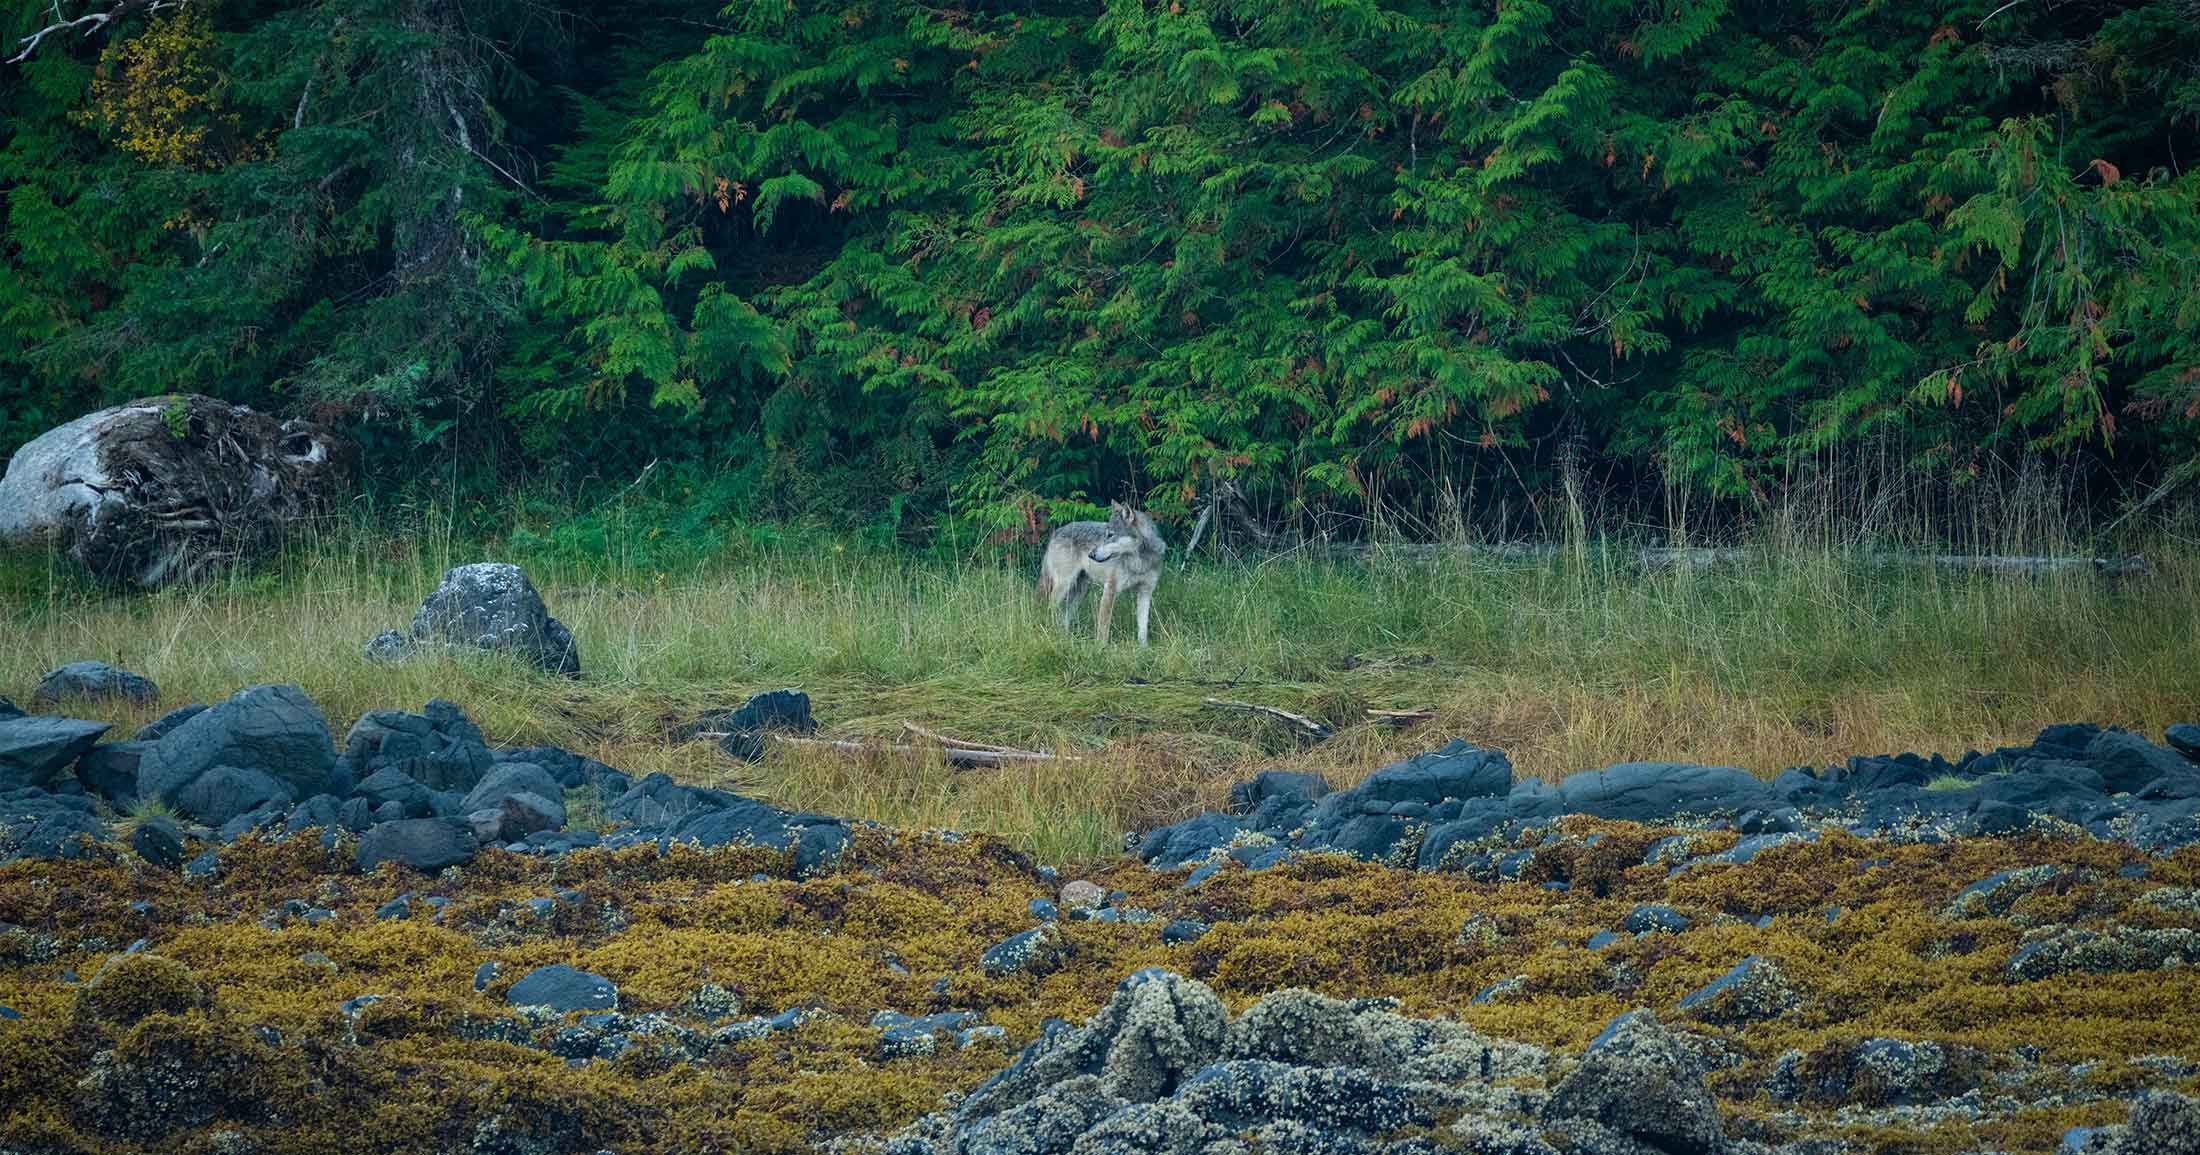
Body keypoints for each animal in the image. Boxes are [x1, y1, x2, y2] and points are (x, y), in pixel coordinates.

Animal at [1035, 501, 1167, 645]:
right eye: (1105, 534)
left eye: (1111, 535)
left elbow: (1143, 628)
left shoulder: (1145, 592)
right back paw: (1052, 631)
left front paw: (1143, 647)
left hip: (1080, 592)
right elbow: (1103, 626)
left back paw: (1063, 637)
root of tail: (1057, 531)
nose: (1091, 554)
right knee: (1051, 606)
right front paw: (1101, 647)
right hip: (1064, 585)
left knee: (1064, 617)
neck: (1139, 562)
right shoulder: (1110, 589)